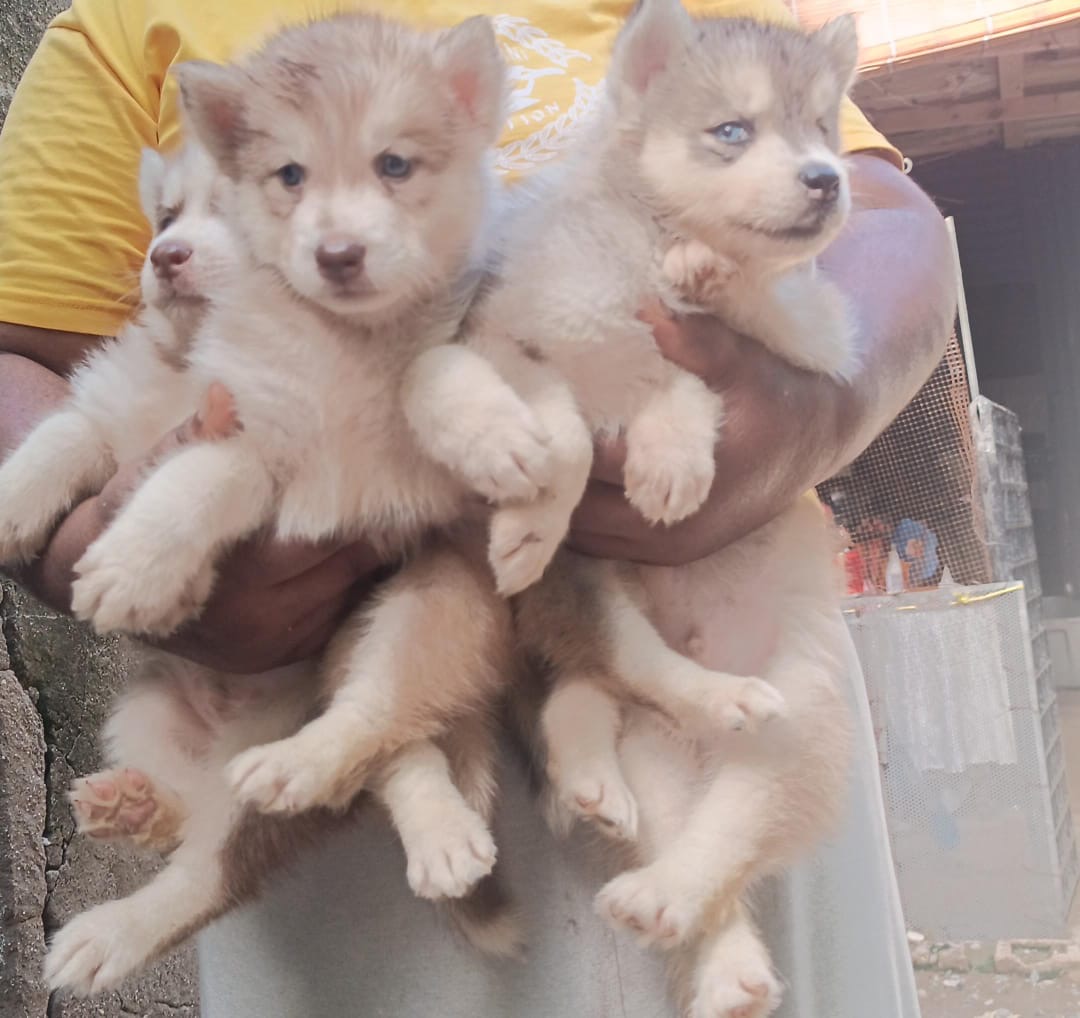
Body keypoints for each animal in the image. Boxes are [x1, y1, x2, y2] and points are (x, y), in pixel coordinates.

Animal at [9, 11, 544, 993]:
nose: (165, 256)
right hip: (141, 714)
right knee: (208, 816)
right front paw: (76, 533)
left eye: (228, 211)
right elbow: (73, 444)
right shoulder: (174, 429)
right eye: (167, 215)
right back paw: (134, 807)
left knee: (312, 792)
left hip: (390, 627)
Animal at [406, 3, 859, 1014]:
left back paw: (691, 925)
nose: (830, 180)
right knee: (617, 681)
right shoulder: (511, 340)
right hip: (610, 623)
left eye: (823, 127)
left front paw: (674, 449)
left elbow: (703, 364)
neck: (636, 252)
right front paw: (533, 516)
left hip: (801, 715)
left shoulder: (797, 343)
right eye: (733, 130)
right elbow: (569, 436)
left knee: (728, 830)